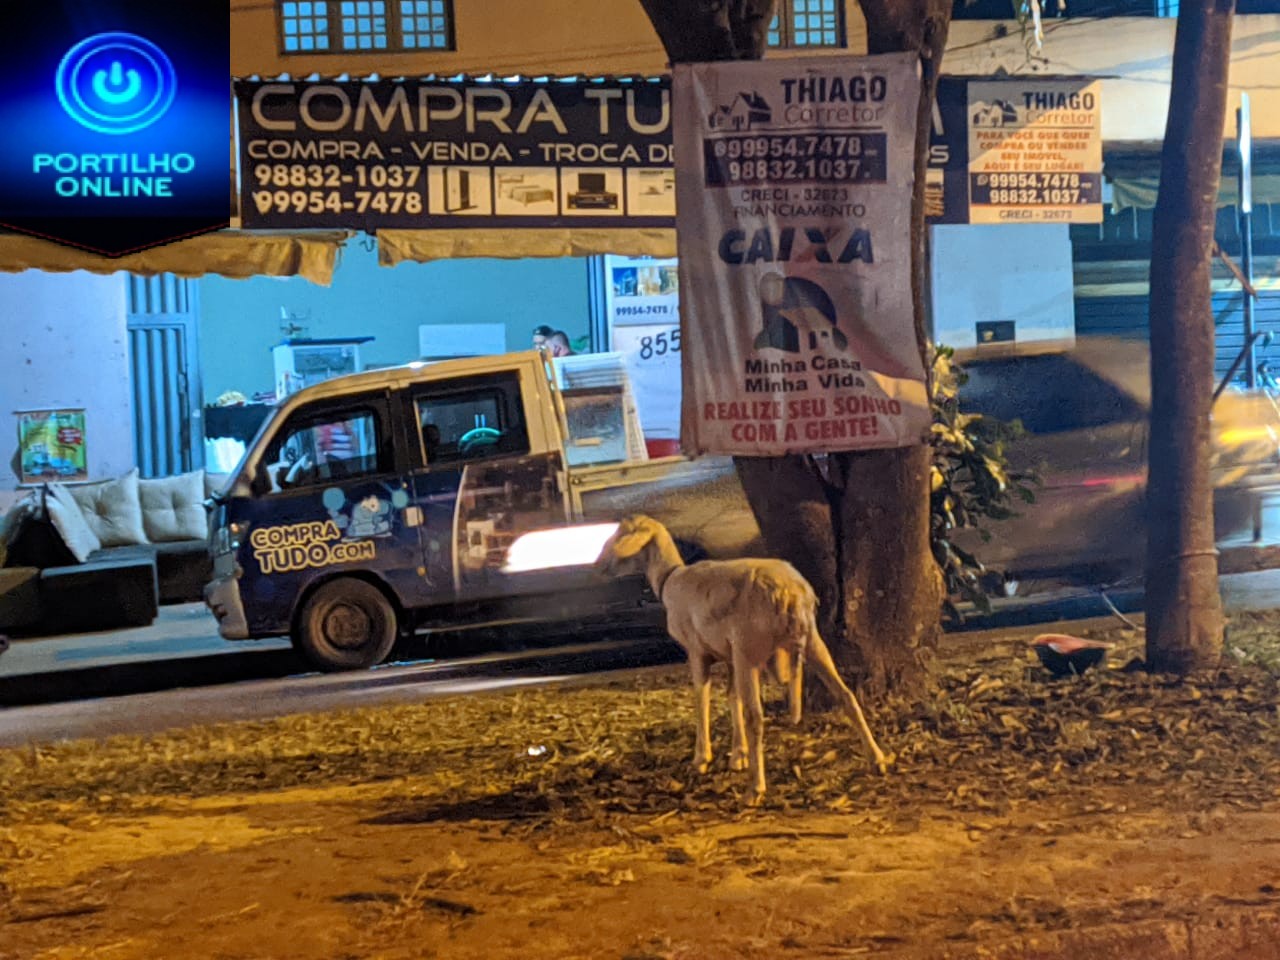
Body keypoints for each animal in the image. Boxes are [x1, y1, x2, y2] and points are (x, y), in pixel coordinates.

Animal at [596, 519, 890, 803]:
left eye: (621, 533)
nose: (599, 566)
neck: (669, 578)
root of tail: (790, 594)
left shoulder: (697, 651)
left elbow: (702, 699)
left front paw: (702, 759)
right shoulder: (729, 656)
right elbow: (731, 696)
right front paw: (738, 755)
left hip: (748, 648)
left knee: (756, 717)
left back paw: (755, 790)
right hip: (811, 641)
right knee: (846, 695)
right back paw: (877, 760)